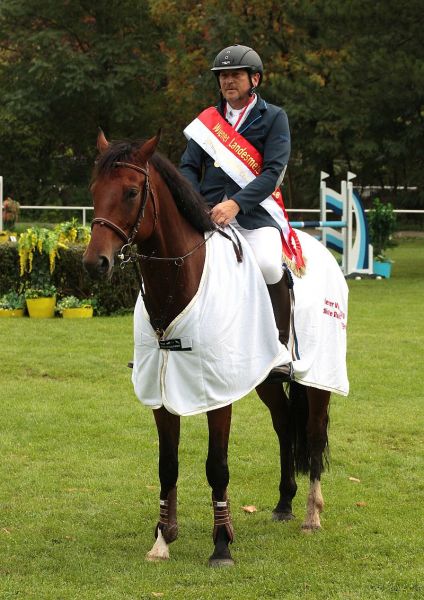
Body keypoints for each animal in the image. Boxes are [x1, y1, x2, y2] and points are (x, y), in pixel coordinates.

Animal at [83, 131, 345, 567]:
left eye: (132, 192)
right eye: (93, 190)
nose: (94, 263)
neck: (179, 281)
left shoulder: (218, 393)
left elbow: (217, 466)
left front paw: (221, 544)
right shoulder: (161, 391)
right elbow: (167, 465)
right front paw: (162, 537)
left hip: (318, 377)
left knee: (312, 432)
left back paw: (311, 514)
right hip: (265, 379)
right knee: (283, 426)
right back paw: (284, 504)